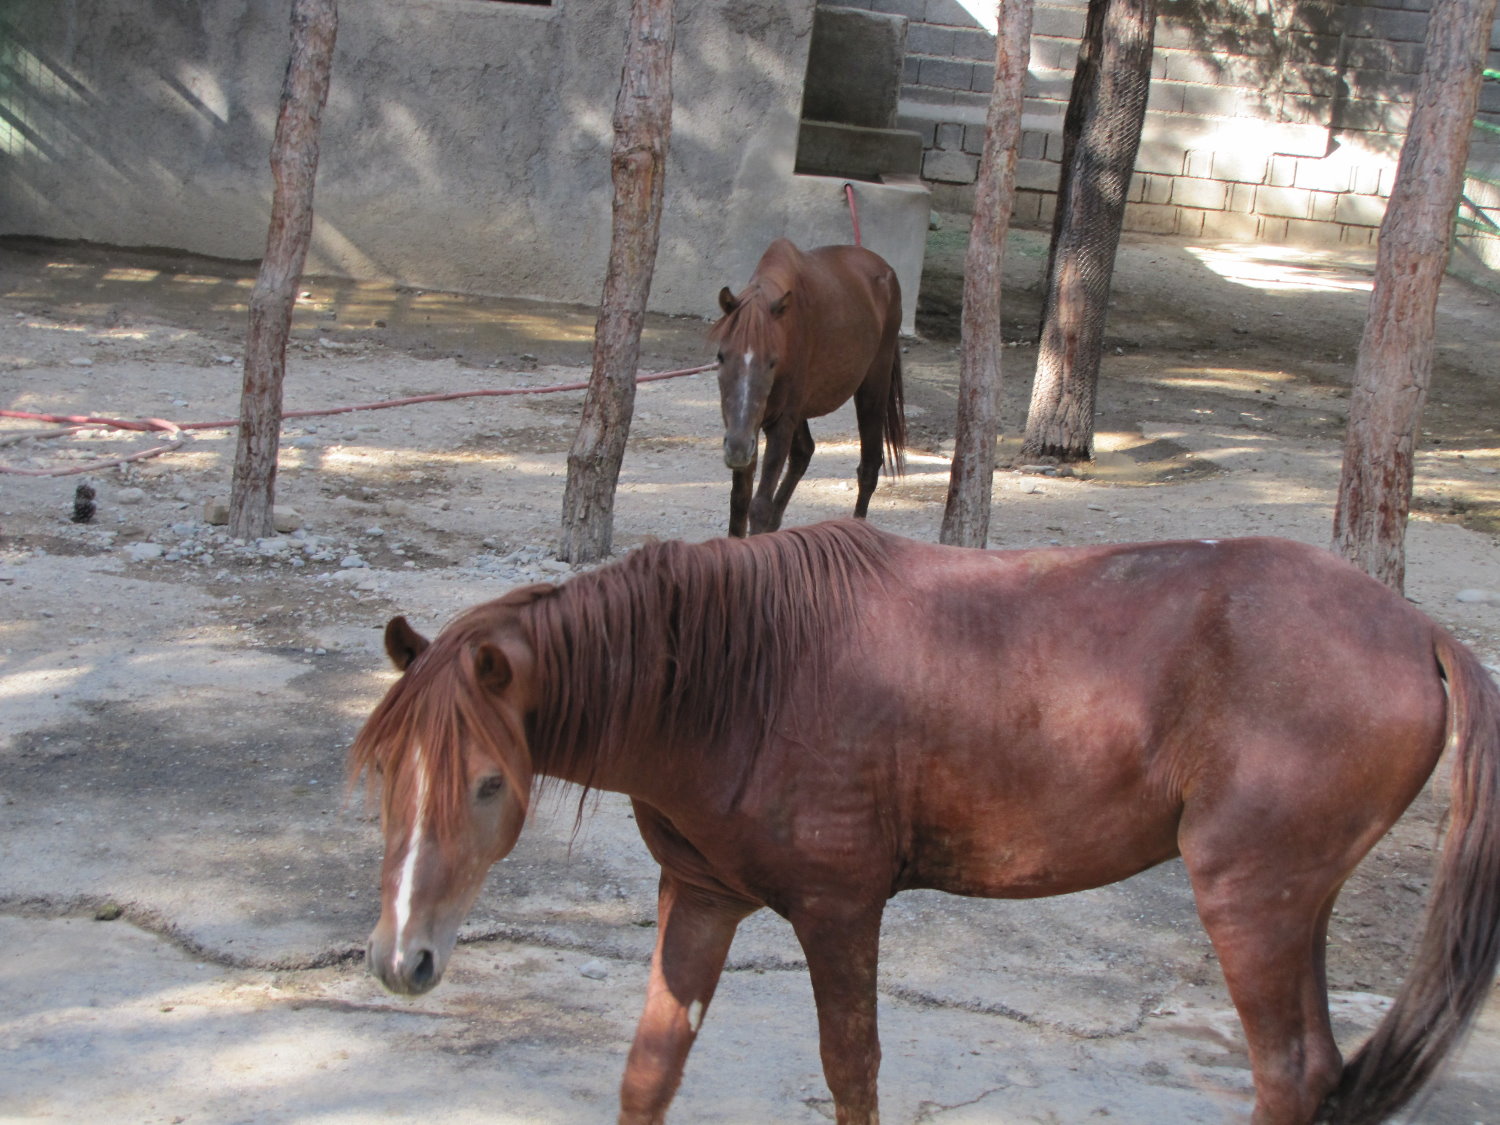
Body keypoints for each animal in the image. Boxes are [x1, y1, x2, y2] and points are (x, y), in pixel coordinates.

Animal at [349, 520, 1500, 1125]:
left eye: (487, 783)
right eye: (386, 774)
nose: (401, 958)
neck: (744, 682)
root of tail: (1416, 630)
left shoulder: (838, 912)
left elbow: (851, 1068)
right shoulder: (703, 898)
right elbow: (650, 1069)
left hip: (1249, 905)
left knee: (1289, 1073)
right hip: (1292, 907)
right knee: (1319, 1072)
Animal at [709, 238, 905, 537]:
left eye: (772, 361)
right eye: (721, 356)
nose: (737, 446)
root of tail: (886, 271)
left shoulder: (779, 424)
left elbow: (759, 506)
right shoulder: (746, 429)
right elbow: (739, 502)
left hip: (873, 389)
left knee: (869, 467)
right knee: (804, 453)